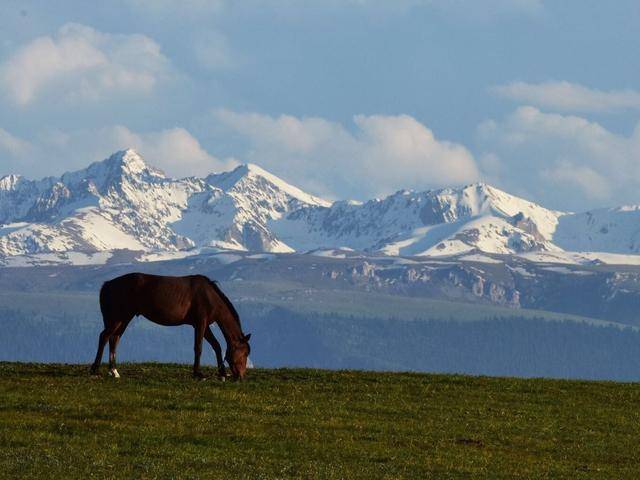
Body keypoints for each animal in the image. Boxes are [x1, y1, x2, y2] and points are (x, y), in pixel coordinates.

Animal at [90, 274, 250, 378]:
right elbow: (198, 348)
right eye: (245, 353)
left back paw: (114, 371)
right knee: (104, 336)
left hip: (124, 318)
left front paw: (222, 373)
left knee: (114, 339)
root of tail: (108, 284)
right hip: (119, 318)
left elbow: (216, 345)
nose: (241, 376)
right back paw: (95, 370)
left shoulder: (203, 325)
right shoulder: (200, 323)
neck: (209, 296)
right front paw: (197, 374)